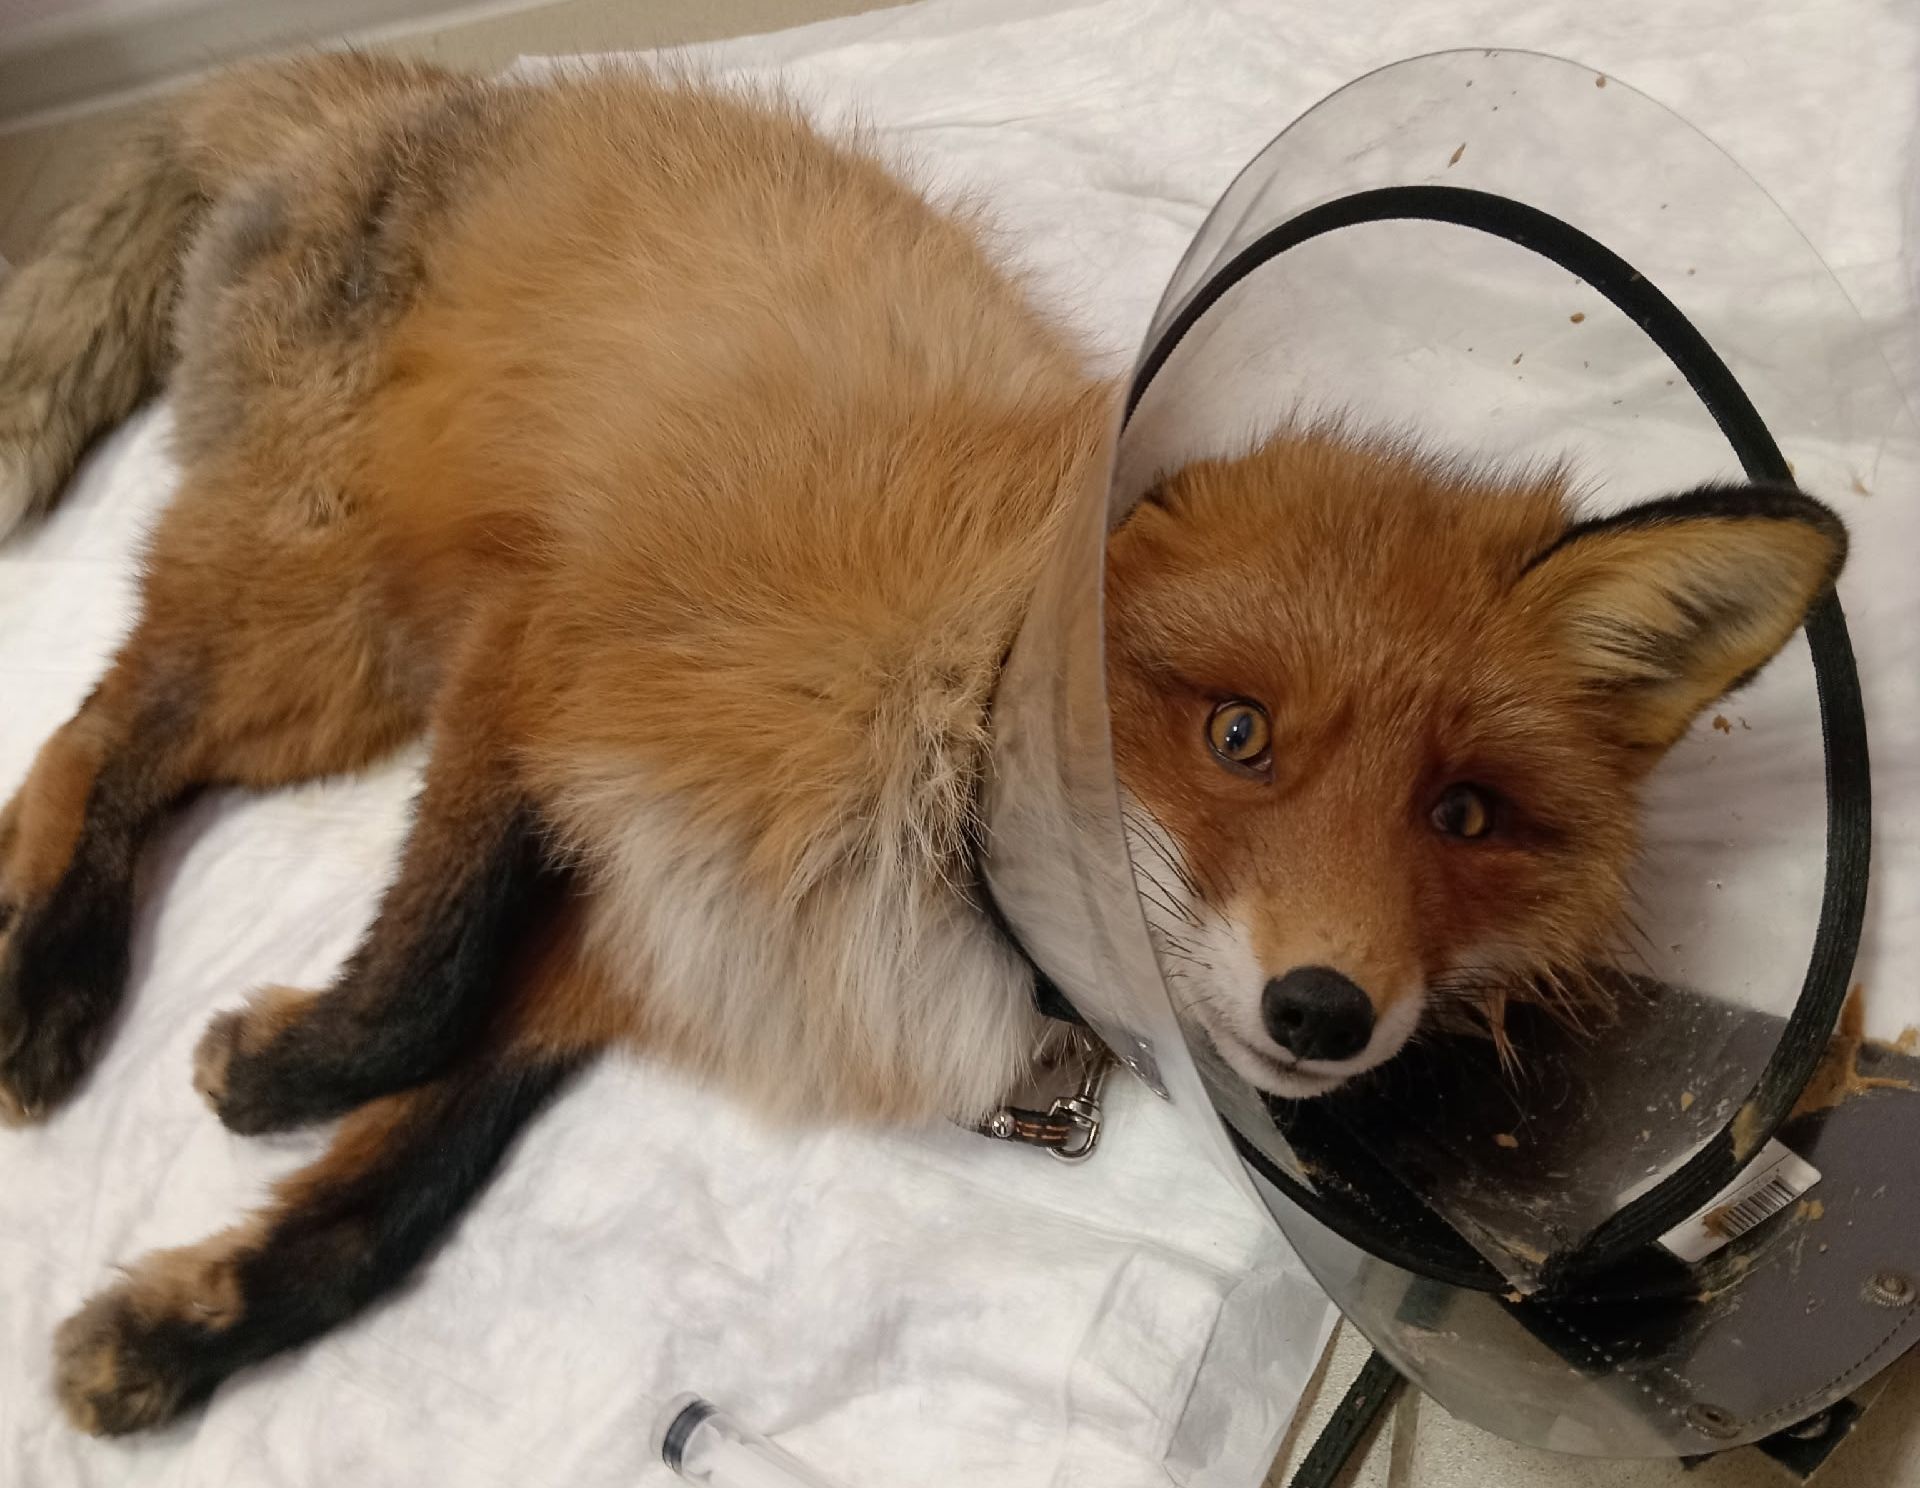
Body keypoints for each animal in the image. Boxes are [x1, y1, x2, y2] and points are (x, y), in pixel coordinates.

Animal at [0, 52, 1844, 1436]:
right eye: (1238, 733)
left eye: (1463, 814)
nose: (1326, 1011)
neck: (940, 749)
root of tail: (450, 87)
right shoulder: (538, 659)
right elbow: (428, 971)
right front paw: (282, 1075)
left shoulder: (646, 939)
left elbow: (387, 1208)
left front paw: (184, 1329)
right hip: (337, 623)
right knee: (105, 724)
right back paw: (50, 981)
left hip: (343, 666)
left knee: (118, 730)